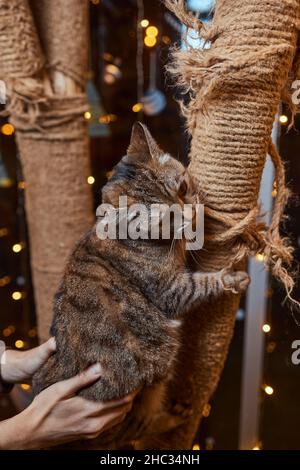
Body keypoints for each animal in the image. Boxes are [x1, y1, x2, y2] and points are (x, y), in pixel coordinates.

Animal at [32, 123, 250, 446]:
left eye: (182, 188)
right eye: (168, 217)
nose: (190, 213)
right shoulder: (171, 290)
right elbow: (204, 283)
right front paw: (233, 277)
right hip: (147, 378)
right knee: (141, 424)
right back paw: (175, 414)